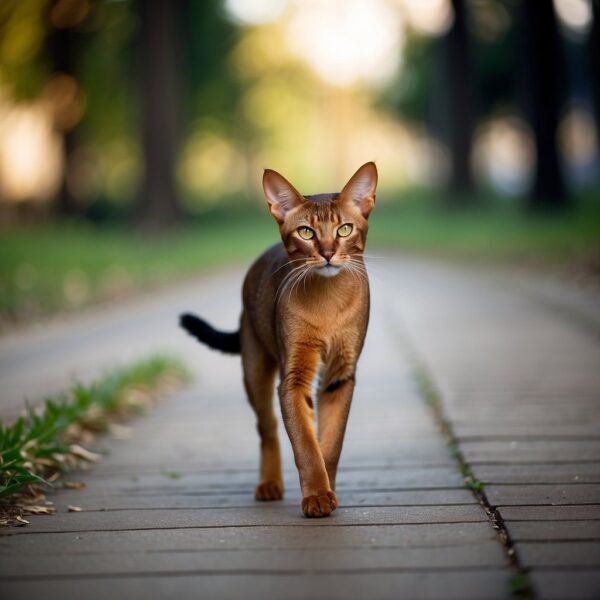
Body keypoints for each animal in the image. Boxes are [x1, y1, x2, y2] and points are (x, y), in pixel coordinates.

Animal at [180, 163, 378, 516]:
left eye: (344, 229)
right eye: (306, 232)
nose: (328, 253)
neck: (328, 303)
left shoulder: (341, 376)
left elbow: (330, 443)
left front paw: (327, 491)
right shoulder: (293, 378)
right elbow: (305, 444)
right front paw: (317, 496)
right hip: (255, 369)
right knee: (267, 427)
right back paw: (269, 484)